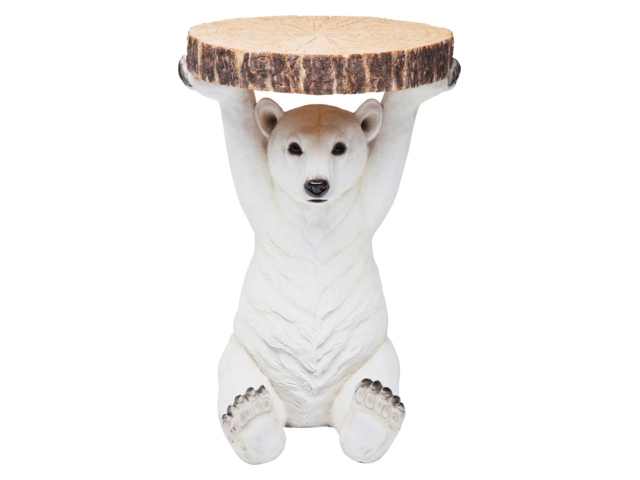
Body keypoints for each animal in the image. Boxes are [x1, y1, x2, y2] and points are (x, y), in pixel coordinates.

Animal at [179, 54, 459, 464]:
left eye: (339, 148)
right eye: (294, 148)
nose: (316, 185)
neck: (314, 216)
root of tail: (308, 416)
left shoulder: (361, 210)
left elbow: (388, 160)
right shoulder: (270, 208)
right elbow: (245, 154)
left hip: (374, 355)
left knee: (375, 384)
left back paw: (374, 410)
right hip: (245, 353)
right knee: (236, 377)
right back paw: (251, 416)